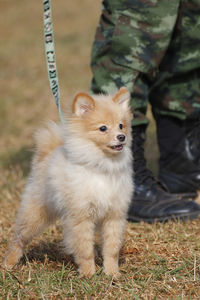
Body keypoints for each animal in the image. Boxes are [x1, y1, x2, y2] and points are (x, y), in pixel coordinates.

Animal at [3, 86, 134, 276]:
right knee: (19, 238)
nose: (122, 136)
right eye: (103, 128)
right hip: (36, 212)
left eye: (121, 125)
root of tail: (48, 152)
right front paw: (88, 274)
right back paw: (8, 264)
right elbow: (85, 249)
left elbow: (111, 248)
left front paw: (112, 273)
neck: (101, 166)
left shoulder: (114, 215)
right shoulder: (81, 216)